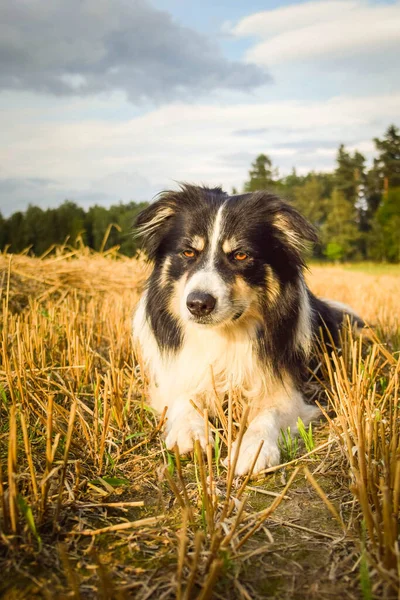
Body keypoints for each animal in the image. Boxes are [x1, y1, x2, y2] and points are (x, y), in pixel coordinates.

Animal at [134, 185, 360, 476]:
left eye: (240, 255)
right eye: (188, 252)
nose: (198, 304)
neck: (224, 333)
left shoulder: (289, 392)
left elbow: (268, 413)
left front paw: (253, 449)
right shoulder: (176, 376)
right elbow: (184, 397)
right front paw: (191, 433)